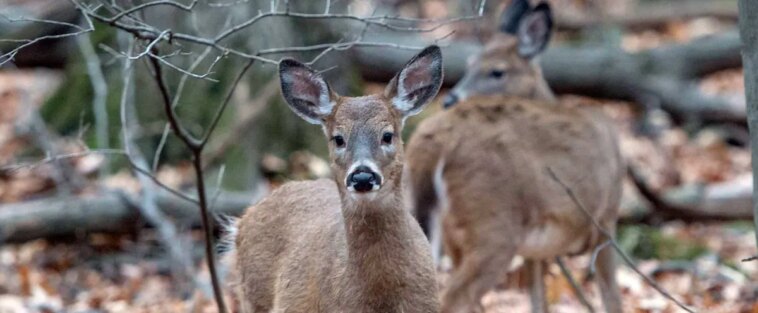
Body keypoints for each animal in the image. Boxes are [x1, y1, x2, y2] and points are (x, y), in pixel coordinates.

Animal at [406, 1, 628, 310]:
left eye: (497, 72)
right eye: (470, 64)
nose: (450, 99)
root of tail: (432, 141)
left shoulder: (534, 251)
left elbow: (538, 300)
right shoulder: (606, 222)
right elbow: (611, 298)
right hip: (493, 221)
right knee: (455, 296)